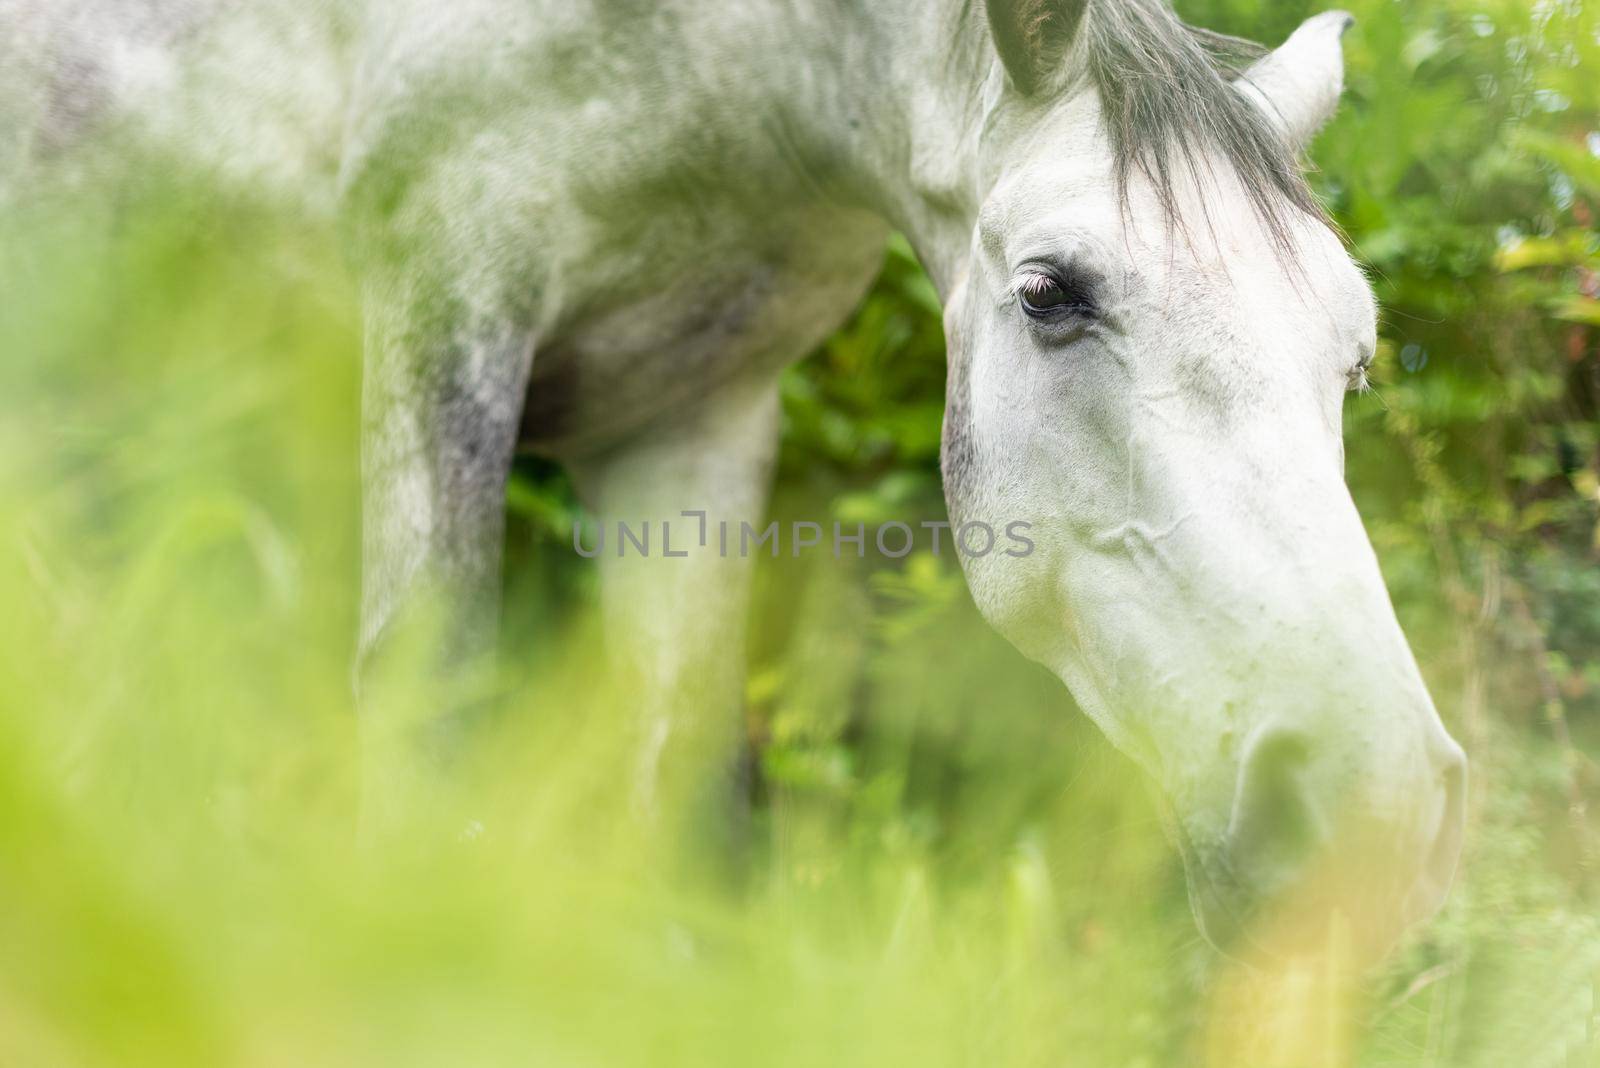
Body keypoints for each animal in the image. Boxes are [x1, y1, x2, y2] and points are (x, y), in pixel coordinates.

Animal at [9, 0, 1465, 959]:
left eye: (1354, 353)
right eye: (1053, 294)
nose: (1380, 807)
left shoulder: (692, 418)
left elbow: (687, 780)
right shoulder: (442, 311)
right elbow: (426, 717)